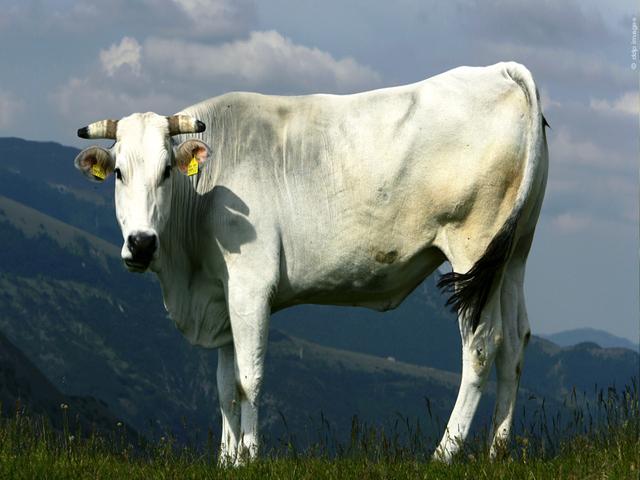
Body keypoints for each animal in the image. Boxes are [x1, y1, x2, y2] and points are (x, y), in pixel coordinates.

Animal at [73, 61, 548, 464]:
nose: (141, 244)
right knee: (515, 341)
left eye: (168, 170)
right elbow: (225, 386)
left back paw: (443, 454)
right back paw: (498, 453)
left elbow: (248, 379)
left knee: (482, 346)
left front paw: (248, 459)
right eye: (119, 173)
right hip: (512, 255)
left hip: (473, 251)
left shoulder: (250, 285)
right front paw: (225, 461)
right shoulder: (222, 293)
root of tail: (499, 70)